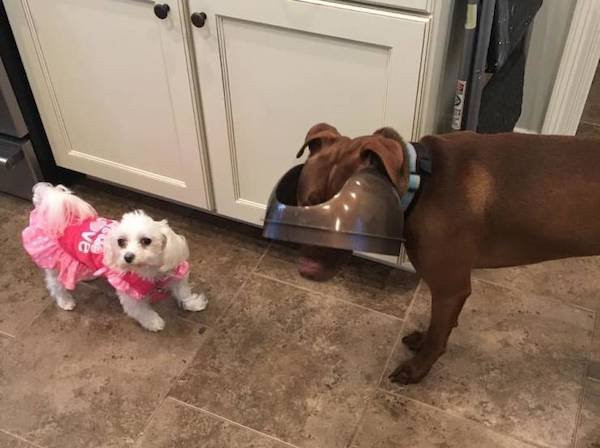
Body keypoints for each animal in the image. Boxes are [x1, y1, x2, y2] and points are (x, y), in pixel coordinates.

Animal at [22, 183, 208, 331]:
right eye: (121, 242)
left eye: (146, 241)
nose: (128, 257)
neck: (149, 270)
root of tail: (46, 205)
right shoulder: (128, 291)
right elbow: (141, 311)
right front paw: (154, 322)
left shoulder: (173, 273)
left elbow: (182, 291)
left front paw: (193, 303)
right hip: (54, 261)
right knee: (55, 284)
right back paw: (65, 301)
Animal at [295, 123, 600, 384]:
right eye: (305, 207)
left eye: (350, 216)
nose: (306, 270)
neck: (420, 185)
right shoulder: (449, 294)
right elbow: (440, 326)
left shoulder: (450, 288)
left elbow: (437, 337)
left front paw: (417, 368)